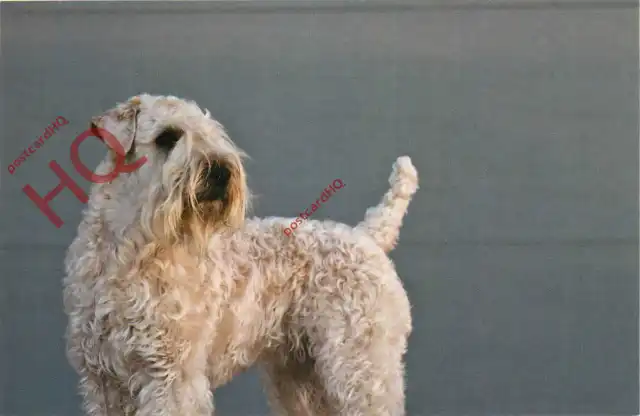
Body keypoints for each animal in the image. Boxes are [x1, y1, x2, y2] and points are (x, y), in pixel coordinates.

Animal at [61, 94, 420, 416]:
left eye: (212, 132)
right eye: (167, 136)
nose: (221, 171)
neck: (131, 252)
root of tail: (367, 236)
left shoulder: (171, 377)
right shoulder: (102, 381)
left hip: (360, 365)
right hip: (300, 376)